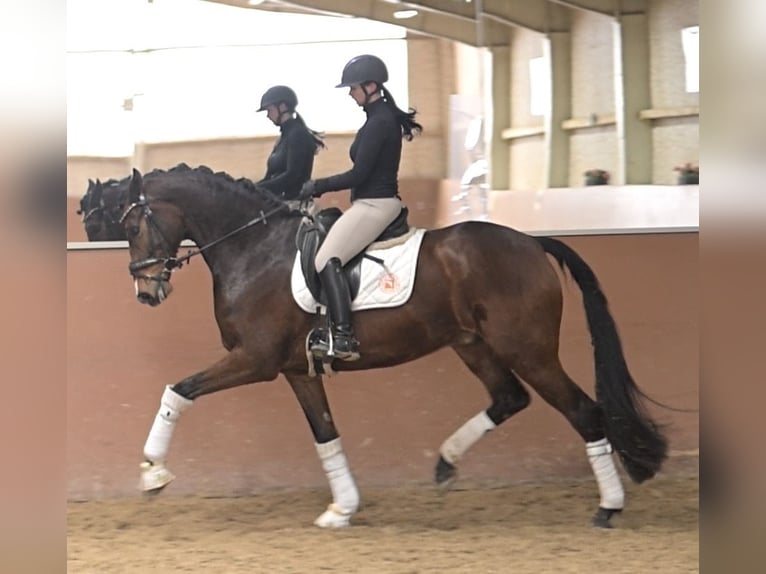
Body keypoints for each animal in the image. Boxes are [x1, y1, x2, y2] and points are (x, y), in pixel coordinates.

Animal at [115, 163, 668, 528]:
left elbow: (178, 390)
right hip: (473, 344)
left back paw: (607, 507)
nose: (145, 292)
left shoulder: (255, 359)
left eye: (132, 225)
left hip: (527, 349)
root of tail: (533, 242)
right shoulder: (296, 369)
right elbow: (326, 434)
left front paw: (152, 472)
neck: (254, 250)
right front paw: (342, 508)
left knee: (583, 411)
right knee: (509, 398)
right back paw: (445, 463)